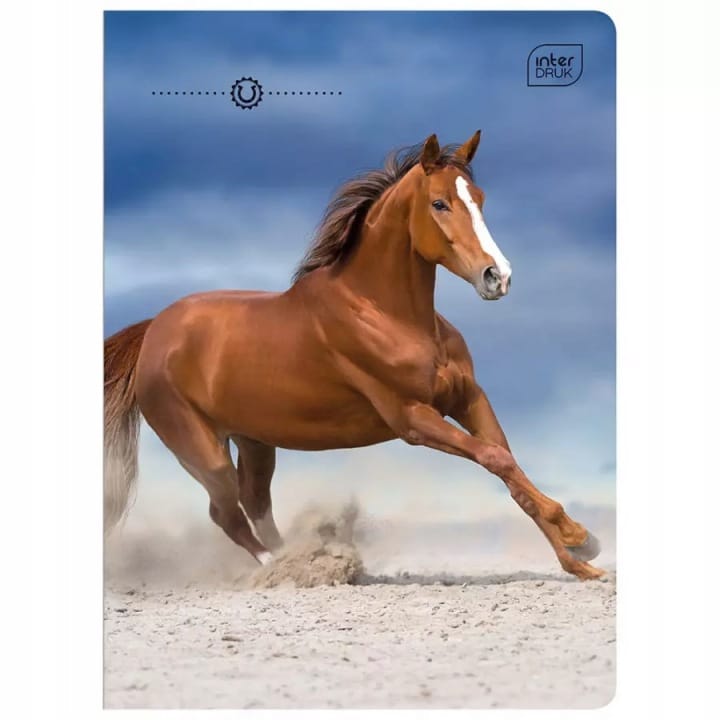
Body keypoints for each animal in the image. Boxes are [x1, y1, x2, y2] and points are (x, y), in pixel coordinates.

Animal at [104, 131, 604, 580]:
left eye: (479, 199)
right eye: (439, 204)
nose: (497, 276)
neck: (387, 314)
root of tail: (153, 331)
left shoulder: (468, 399)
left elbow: (507, 464)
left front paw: (581, 560)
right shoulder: (412, 419)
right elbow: (496, 460)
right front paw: (579, 537)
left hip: (255, 441)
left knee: (256, 504)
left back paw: (307, 558)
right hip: (200, 449)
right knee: (226, 512)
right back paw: (284, 568)